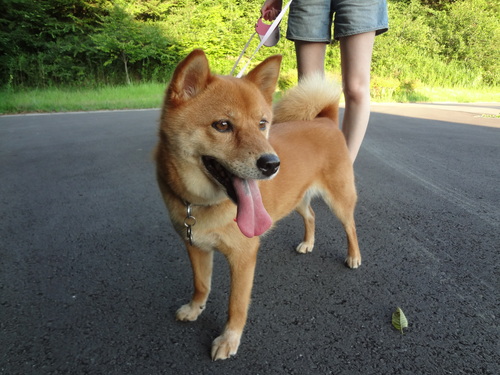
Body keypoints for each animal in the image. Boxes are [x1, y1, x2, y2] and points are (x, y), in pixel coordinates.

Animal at [154, 50, 362, 362]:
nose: (272, 164)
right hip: (295, 199)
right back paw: (308, 243)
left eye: (262, 124)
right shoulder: (196, 246)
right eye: (223, 125)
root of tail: (325, 119)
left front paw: (229, 339)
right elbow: (201, 285)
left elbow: (236, 304)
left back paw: (354, 256)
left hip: (339, 199)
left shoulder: (243, 257)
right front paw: (194, 309)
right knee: (311, 215)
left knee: (350, 227)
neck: (203, 203)